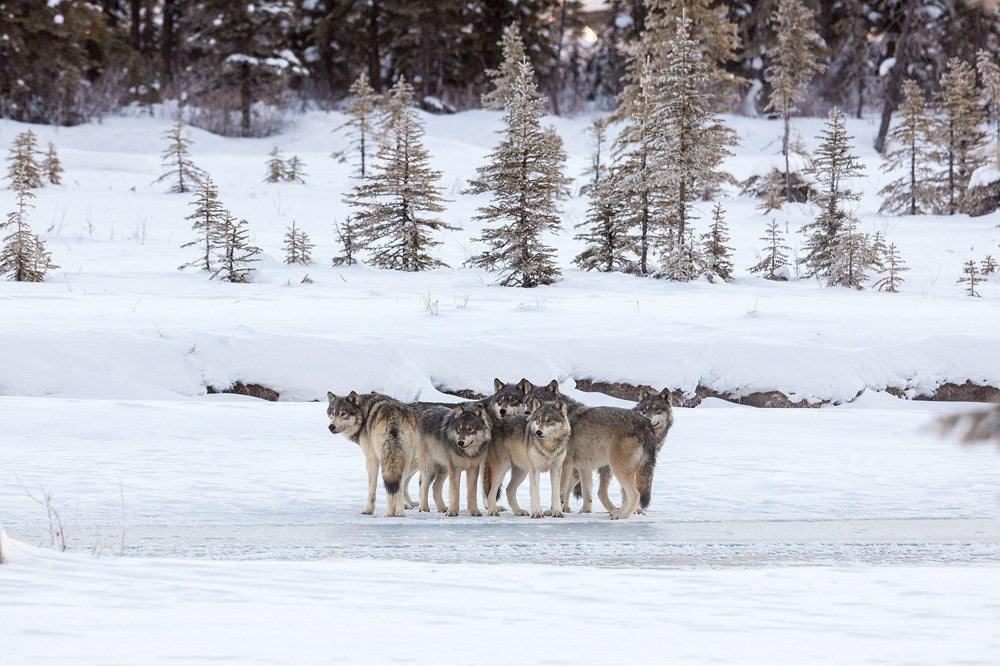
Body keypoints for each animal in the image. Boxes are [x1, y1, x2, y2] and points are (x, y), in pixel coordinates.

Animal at [522, 380, 657, 520]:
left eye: (540, 401)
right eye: (527, 401)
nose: (527, 413)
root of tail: (646, 423)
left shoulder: (566, 464)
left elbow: (561, 489)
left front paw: (553, 510)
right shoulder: (583, 467)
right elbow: (586, 493)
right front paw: (585, 511)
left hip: (618, 468)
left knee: (635, 494)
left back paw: (622, 515)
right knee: (627, 495)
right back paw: (618, 512)